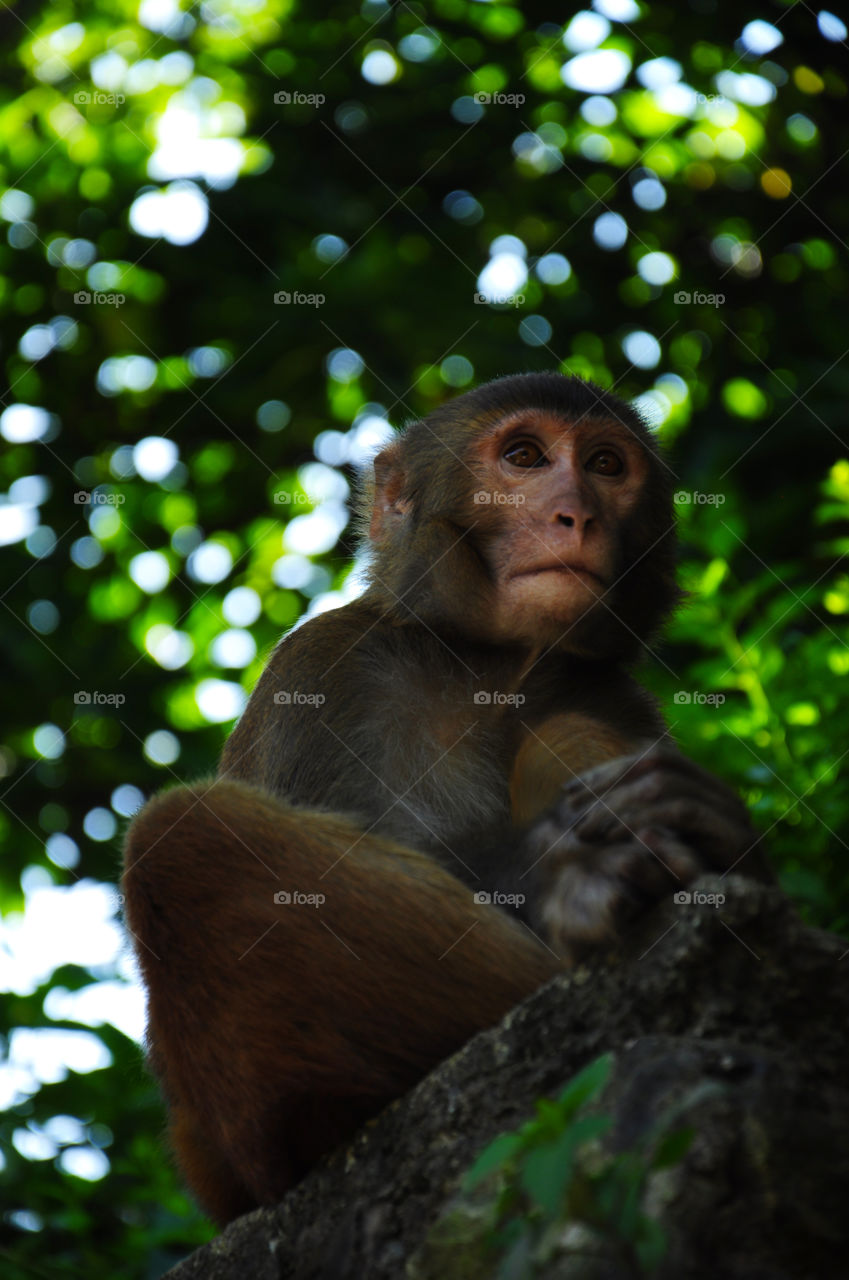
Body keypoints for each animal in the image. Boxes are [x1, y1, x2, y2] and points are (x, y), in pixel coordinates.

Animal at [122, 372, 765, 1225]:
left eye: (604, 464)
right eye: (523, 457)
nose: (578, 514)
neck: (488, 666)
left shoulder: (617, 698)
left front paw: (714, 833)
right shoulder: (327, 671)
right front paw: (568, 870)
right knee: (182, 836)